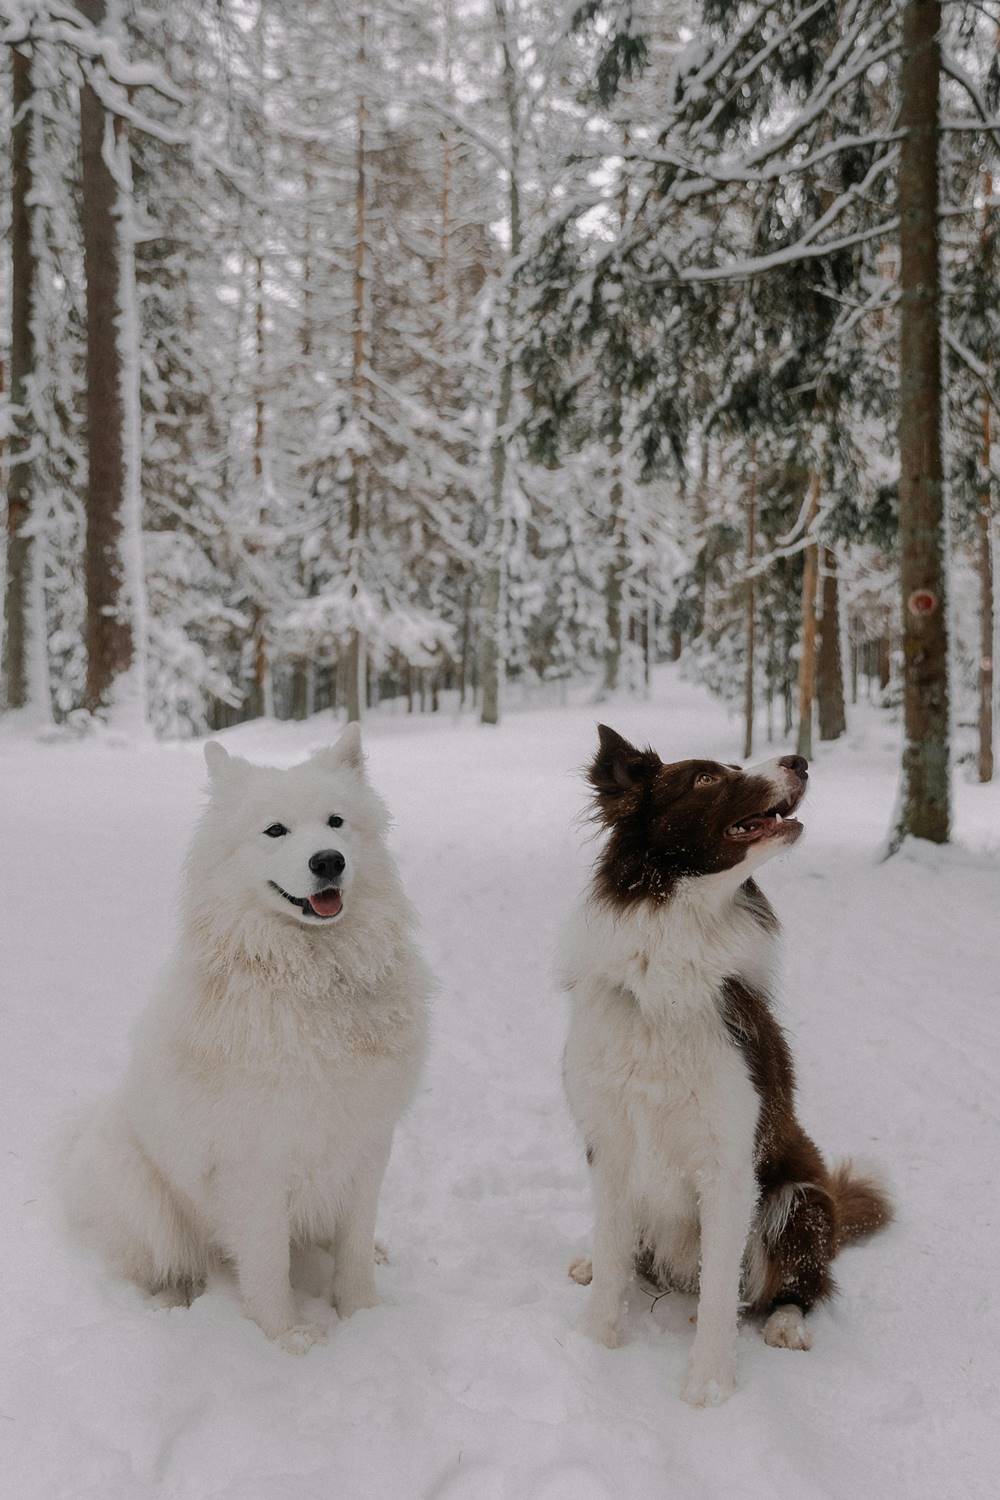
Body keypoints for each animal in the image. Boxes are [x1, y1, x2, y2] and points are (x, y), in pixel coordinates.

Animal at [62, 723, 431, 1350]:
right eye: (275, 830)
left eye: (336, 822)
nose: (328, 861)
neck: (311, 976)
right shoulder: (255, 1163)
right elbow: (267, 1263)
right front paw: (287, 1339)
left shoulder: (365, 1141)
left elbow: (354, 1247)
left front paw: (364, 1317)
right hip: (143, 1194)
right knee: (162, 1261)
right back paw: (172, 1301)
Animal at [563, 726, 893, 1404]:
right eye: (709, 778)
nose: (800, 761)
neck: (670, 969)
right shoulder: (608, 1141)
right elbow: (611, 1254)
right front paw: (596, 1342)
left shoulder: (729, 1162)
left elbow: (721, 1288)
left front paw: (709, 1382)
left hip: (801, 1199)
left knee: (802, 1283)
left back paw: (787, 1325)